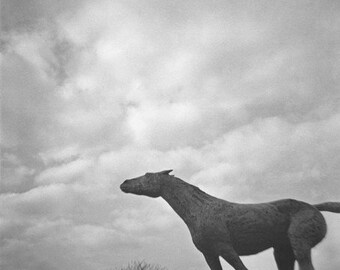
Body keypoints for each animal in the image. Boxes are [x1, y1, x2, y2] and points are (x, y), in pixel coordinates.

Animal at [120, 170, 340, 268]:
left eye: (148, 175)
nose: (124, 183)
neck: (199, 210)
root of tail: (315, 207)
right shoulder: (209, 254)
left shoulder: (225, 248)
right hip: (283, 251)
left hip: (300, 242)